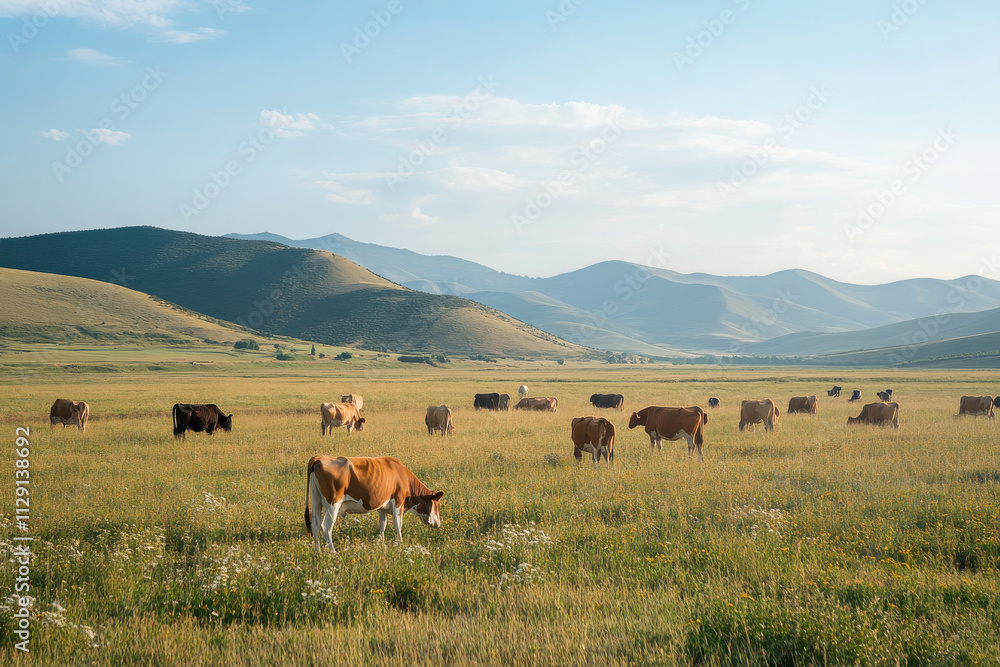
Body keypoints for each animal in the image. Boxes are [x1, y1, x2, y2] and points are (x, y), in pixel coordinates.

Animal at [304, 455, 443, 553]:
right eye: (438, 505)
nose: (438, 524)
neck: (403, 476)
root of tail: (319, 458)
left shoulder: (382, 507)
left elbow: (382, 525)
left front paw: (381, 544)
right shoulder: (398, 502)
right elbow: (398, 526)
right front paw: (400, 544)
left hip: (316, 500)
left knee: (315, 524)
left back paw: (318, 551)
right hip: (332, 504)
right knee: (326, 527)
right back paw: (333, 552)